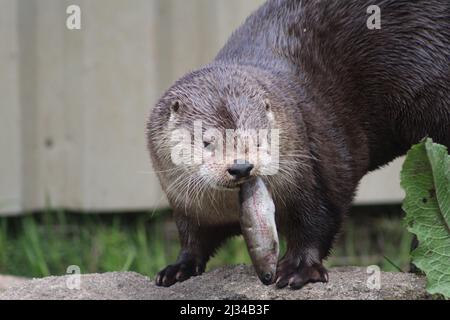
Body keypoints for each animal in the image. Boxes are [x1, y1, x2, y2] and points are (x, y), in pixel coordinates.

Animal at [146, 0, 448, 290]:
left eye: (259, 137)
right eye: (207, 141)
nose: (241, 166)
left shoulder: (316, 173)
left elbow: (316, 224)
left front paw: (298, 269)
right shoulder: (187, 206)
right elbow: (193, 239)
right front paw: (178, 268)